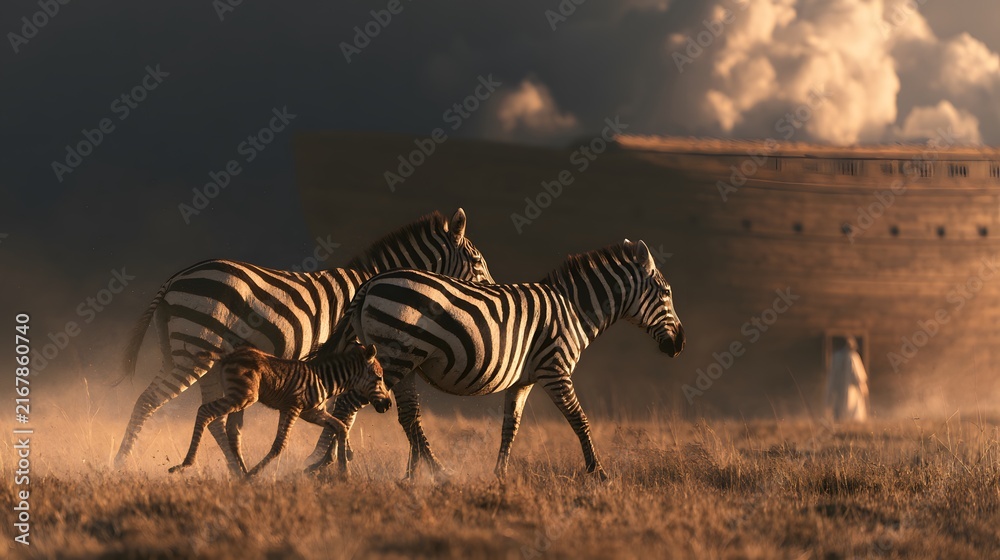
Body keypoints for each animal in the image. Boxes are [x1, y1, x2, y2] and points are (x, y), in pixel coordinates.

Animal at [169, 343, 391, 477]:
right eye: (379, 378)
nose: (388, 405)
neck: (324, 380)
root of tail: (229, 355)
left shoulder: (313, 412)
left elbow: (341, 427)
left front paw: (345, 473)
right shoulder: (292, 408)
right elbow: (279, 445)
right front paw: (252, 476)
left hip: (238, 396)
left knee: (221, 424)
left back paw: (236, 470)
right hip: (243, 396)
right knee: (205, 411)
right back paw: (185, 464)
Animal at [306, 239, 684, 480]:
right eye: (666, 293)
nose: (679, 344)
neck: (574, 310)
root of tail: (369, 285)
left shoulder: (524, 380)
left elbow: (510, 426)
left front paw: (499, 475)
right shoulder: (555, 369)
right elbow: (580, 420)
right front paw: (599, 473)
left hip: (404, 361)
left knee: (407, 416)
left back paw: (424, 473)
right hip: (395, 356)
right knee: (348, 405)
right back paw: (334, 467)